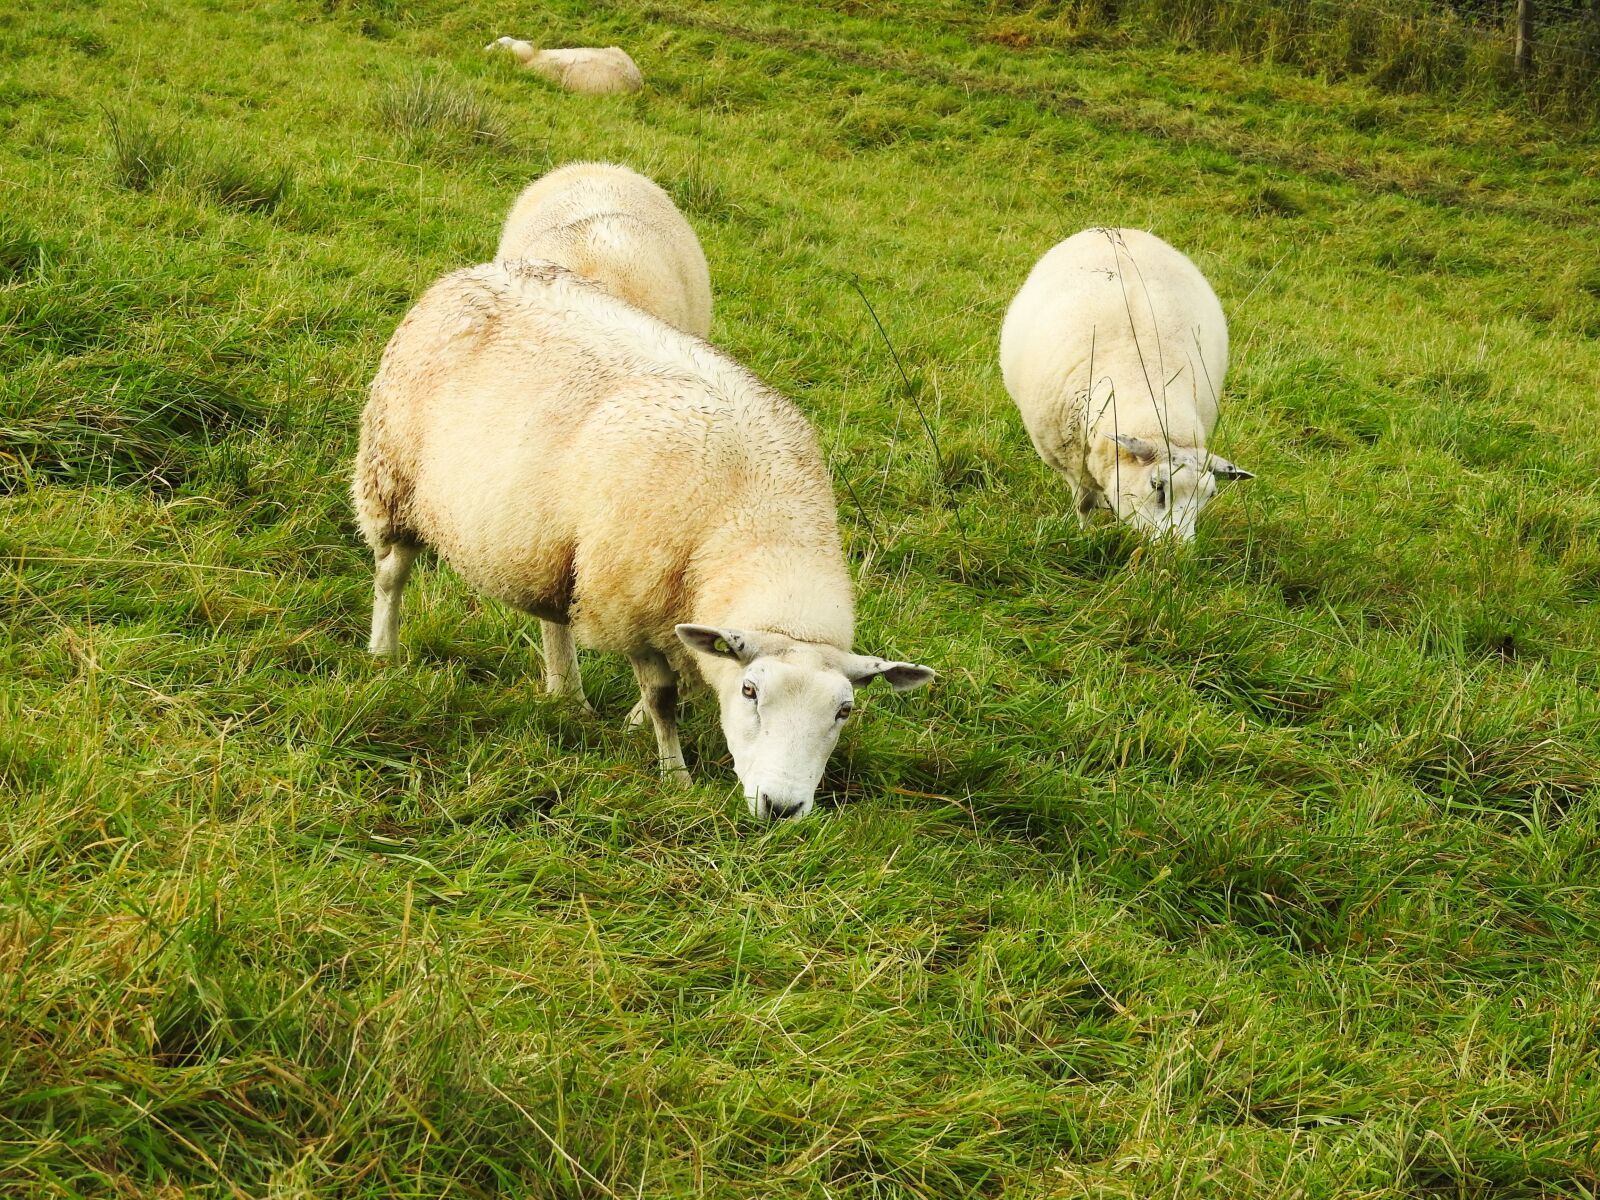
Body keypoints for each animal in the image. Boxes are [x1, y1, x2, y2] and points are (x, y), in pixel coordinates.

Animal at [353, 258, 933, 821]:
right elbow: (663, 697)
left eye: (844, 711)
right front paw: (674, 775)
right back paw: (384, 654)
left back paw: (567, 696)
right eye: (751, 691)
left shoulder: (681, 610)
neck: (765, 525)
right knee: (391, 575)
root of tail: (466, 273)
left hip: (554, 540)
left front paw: (632, 727)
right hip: (393, 479)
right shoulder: (632, 602)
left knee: (552, 612)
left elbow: (687, 679)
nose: (781, 807)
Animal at [999, 227, 1253, 541]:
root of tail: (1118, 229)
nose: (1177, 548)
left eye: (1210, 496)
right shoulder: (1072, 462)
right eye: (1157, 487)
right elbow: (1084, 503)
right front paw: (1083, 534)